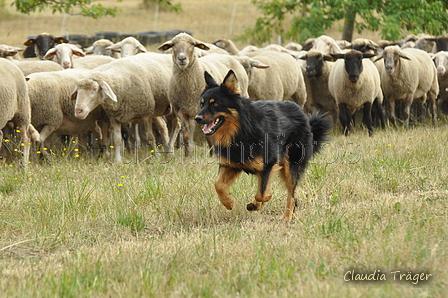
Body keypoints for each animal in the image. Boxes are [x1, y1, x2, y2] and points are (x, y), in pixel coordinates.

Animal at [196, 70, 332, 219]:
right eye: (202, 104)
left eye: (215, 104)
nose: (197, 118)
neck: (241, 130)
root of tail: (301, 113)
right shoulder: (231, 165)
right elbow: (218, 184)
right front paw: (228, 202)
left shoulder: (269, 164)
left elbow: (262, 194)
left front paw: (257, 203)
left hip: (292, 165)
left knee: (291, 196)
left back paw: (286, 218)